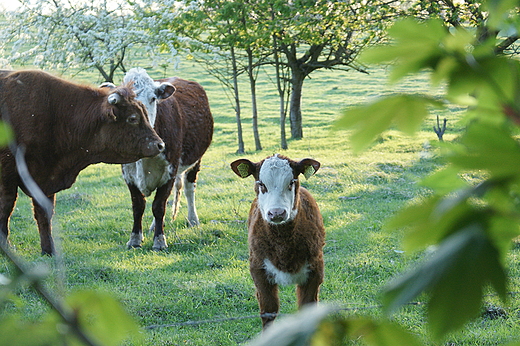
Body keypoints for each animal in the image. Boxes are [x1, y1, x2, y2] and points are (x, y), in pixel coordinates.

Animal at [0, 69, 164, 255]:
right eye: (132, 118)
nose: (160, 145)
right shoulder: (8, 173)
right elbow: (6, 206)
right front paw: (5, 245)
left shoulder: (46, 179)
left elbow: (44, 213)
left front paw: (48, 250)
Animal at [104, 67, 212, 250]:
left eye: (153, 98)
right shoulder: (128, 173)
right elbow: (138, 206)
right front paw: (135, 239)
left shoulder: (170, 170)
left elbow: (159, 206)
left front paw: (160, 241)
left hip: (196, 159)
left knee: (189, 189)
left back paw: (193, 220)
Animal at [230, 155, 322, 330]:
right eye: (261, 184)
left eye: (291, 182)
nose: (277, 213)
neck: (282, 245)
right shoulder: (258, 270)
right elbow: (268, 311)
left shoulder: (315, 270)